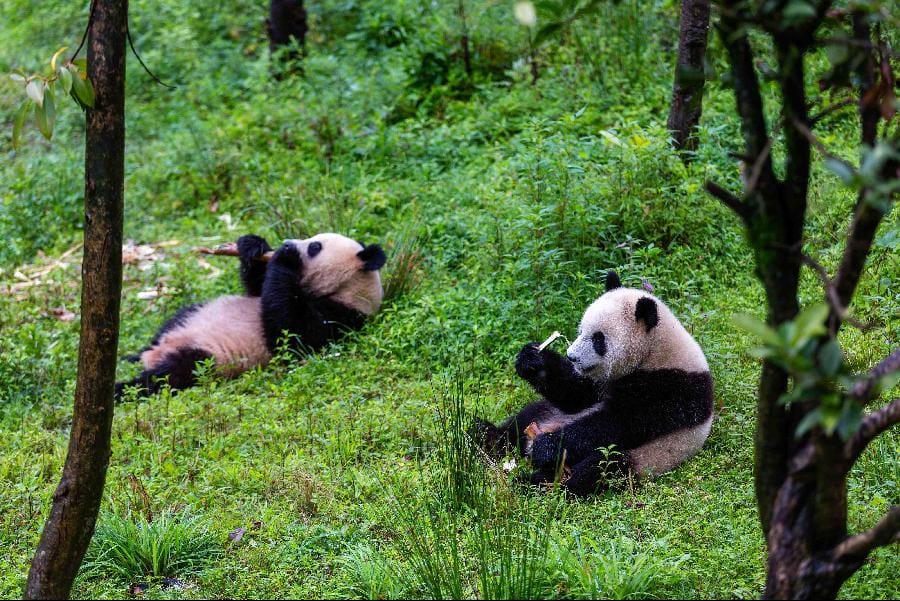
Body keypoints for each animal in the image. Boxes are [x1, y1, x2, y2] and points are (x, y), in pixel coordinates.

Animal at [115, 233, 386, 399]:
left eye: (314, 247)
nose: (287, 242)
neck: (347, 290)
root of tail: (155, 354)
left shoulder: (341, 319)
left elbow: (291, 334)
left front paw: (286, 258)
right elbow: (258, 288)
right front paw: (254, 246)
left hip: (208, 358)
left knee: (170, 374)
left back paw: (123, 388)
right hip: (193, 314)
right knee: (169, 326)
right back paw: (129, 356)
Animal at [476, 271, 713, 497]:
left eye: (598, 339)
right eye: (581, 330)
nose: (572, 357)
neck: (656, 351)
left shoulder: (669, 388)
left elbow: (616, 423)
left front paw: (547, 446)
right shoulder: (602, 380)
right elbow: (577, 396)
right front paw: (533, 361)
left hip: (646, 456)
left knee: (599, 468)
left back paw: (536, 482)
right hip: (547, 412)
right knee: (523, 419)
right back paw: (485, 435)